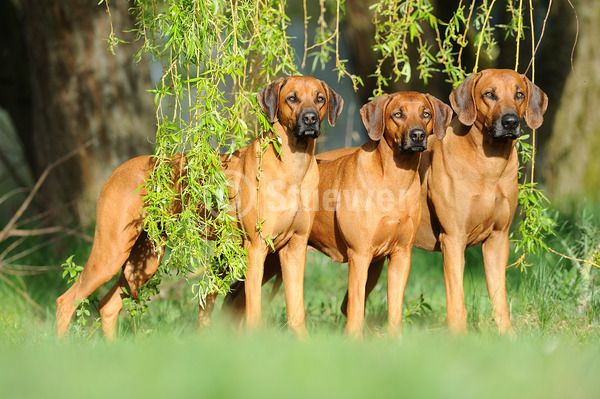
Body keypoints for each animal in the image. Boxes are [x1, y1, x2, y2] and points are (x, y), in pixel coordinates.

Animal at [55, 76, 342, 340]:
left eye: (320, 99)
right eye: (292, 98)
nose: (310, 119)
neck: (293, 166)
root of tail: (116, 172)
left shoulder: (295, 249)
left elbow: (297, 313)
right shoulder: (256, 249)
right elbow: (253, 313)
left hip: (145, 257)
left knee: (107, 306)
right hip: (111, 251)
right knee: (65, 302)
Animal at [224, 90, 450, 338]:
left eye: (426, 114)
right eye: (397, 114)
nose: (417, 135)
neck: (394, 180)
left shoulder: (401, 254)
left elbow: (394, 311)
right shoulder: (359, 254)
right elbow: (355, 308)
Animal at [336, 69, 552, 334]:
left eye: (519, 94)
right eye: (489, 94)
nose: (510, 122)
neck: (489, 165)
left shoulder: (497, 239)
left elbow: (499, 298)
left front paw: (507, 336)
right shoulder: (453, 238)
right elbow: (456, 300)